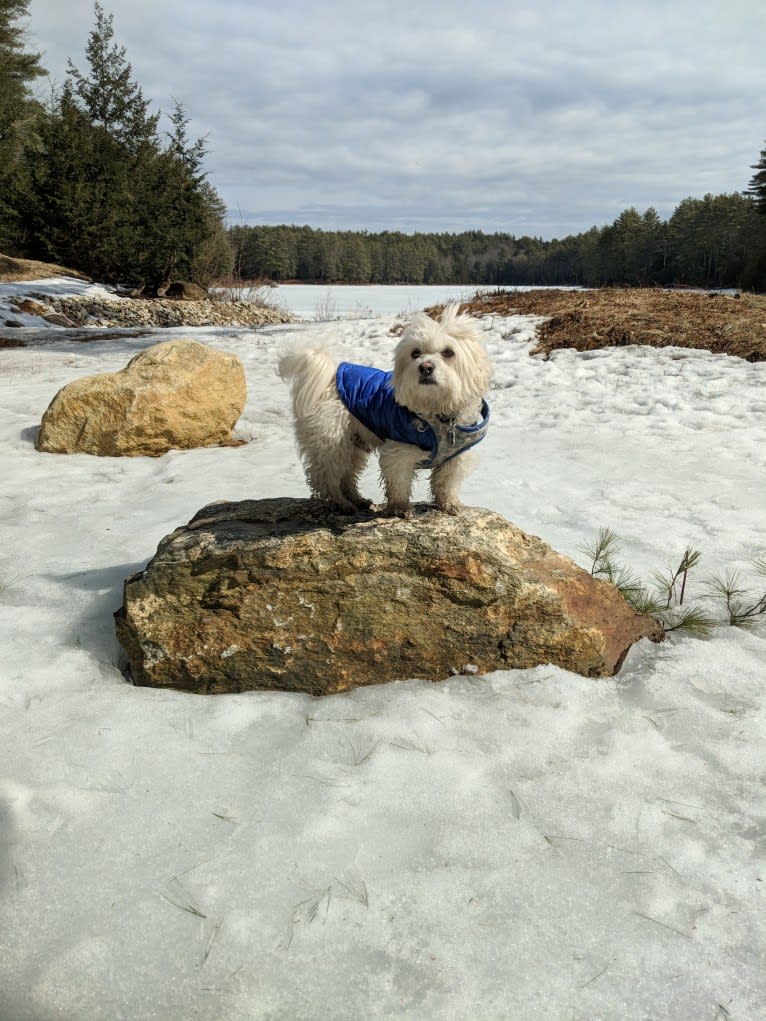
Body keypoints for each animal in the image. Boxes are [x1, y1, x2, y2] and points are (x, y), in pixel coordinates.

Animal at [279, 298, 494, 514]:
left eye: (448, 352)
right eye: (415, 353)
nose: (425, 367)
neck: (436, 411)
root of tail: (331, 378)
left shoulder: (455, 457)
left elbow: (445, 482)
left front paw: (448, 503)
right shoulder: (399, 451)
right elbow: (399, 482)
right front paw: (400, 508)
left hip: (354, 445)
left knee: (347, 476)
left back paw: (357, 499)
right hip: (332, 442)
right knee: (326, 478)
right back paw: (340, 503)